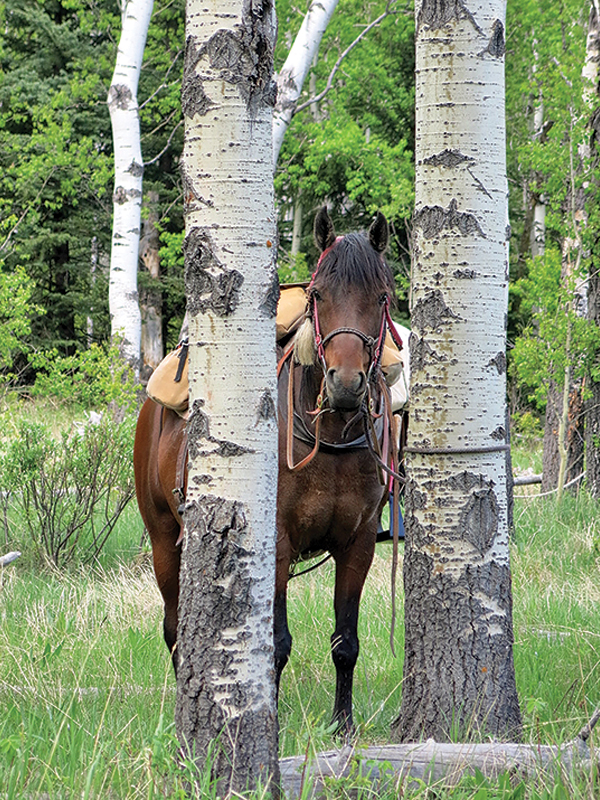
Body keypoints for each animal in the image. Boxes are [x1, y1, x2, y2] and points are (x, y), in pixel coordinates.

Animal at [133, 207, 403, 734]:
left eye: (381, 296)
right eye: (318, 295)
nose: (345, 384)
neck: (328, 442)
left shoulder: (358, 545)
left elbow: (346, 643)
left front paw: (343, 725)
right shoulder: (275, 542)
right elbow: (275, 645)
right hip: (162, 540)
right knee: (174, 630)